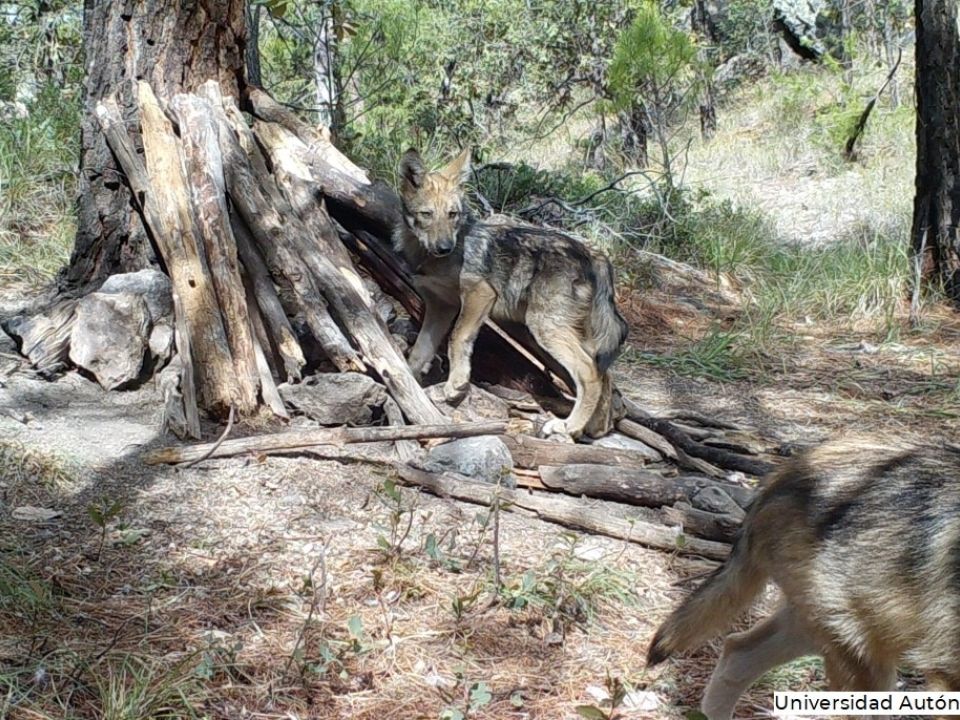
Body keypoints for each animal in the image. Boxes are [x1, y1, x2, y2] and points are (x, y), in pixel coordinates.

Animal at [392, 148, 628, 438]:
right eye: (426, 214)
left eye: (452, 214)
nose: (445, 246)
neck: (428, 256)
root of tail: (594, 254)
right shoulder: (440, 307)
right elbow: (418, 354)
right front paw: (410, 386)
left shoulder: (479, 294)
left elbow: (457, 339)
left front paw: (456, 384)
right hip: (564, 334)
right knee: (605, 374)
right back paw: (591, 429)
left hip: (544, 329)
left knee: (590, 373)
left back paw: (568, 425)